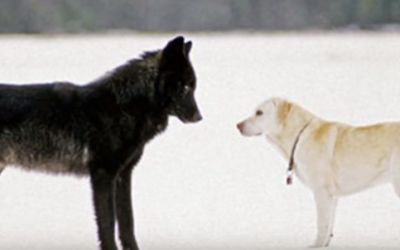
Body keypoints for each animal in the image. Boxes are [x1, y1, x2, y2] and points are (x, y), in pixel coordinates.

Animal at [0, 36, 202, 250]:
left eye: (193, 86)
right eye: (185, 87)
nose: (199, 117)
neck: (124, 108)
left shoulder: (123, 174)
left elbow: (127, 220)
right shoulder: (103, 174)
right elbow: (108, 223)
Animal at [236, 96, 400, 247]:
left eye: (259, 112)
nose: (237, 125)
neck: (299, 135)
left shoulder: (322, 193)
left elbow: (322, 225)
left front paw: (316, 245)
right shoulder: (332, 196)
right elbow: (329, 225)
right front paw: (325, 244)